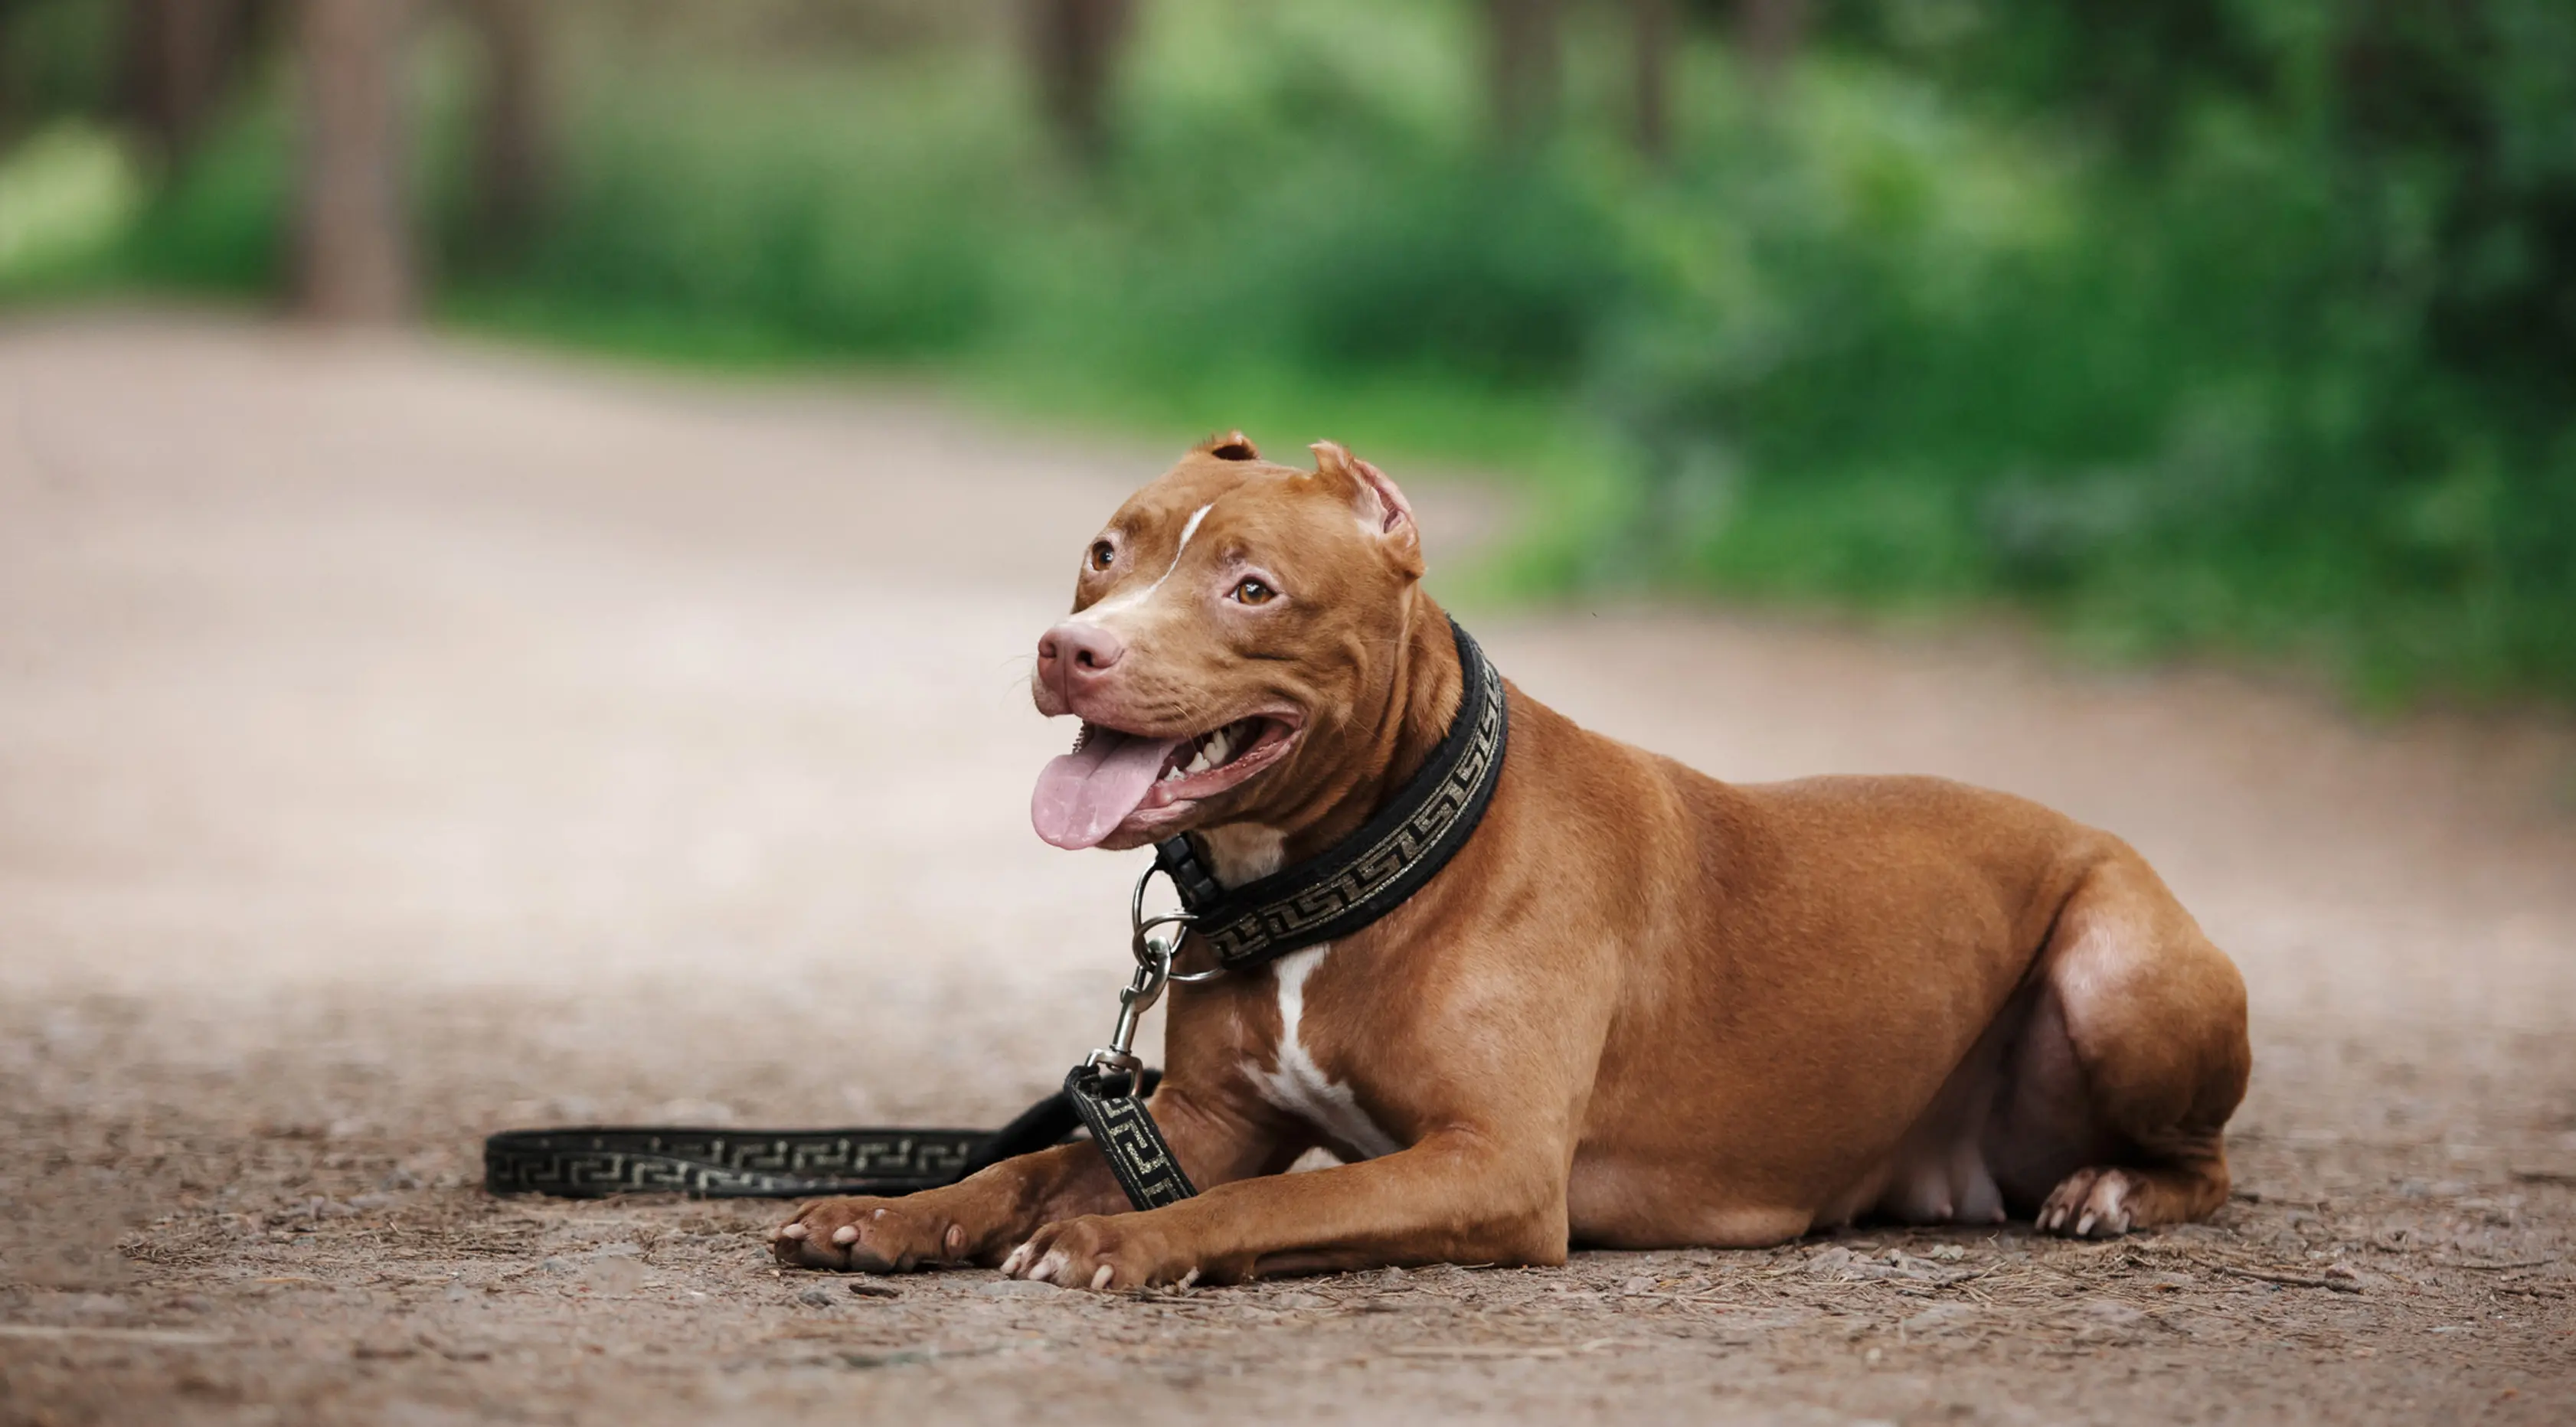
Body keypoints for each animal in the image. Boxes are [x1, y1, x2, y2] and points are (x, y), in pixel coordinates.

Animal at [773, 429, 2246, 1277]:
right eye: (1101, 553)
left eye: (1251, 587)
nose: (1070, 648)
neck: (1356, 868)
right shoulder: (1197, 1119)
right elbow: (1028, 1162)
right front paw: (895, 1210)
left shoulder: (1491, 1165)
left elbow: (1258, 1214)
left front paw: (1116, 1240)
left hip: (2120, 964)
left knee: (2208, 1162)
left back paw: (2111, 1189)